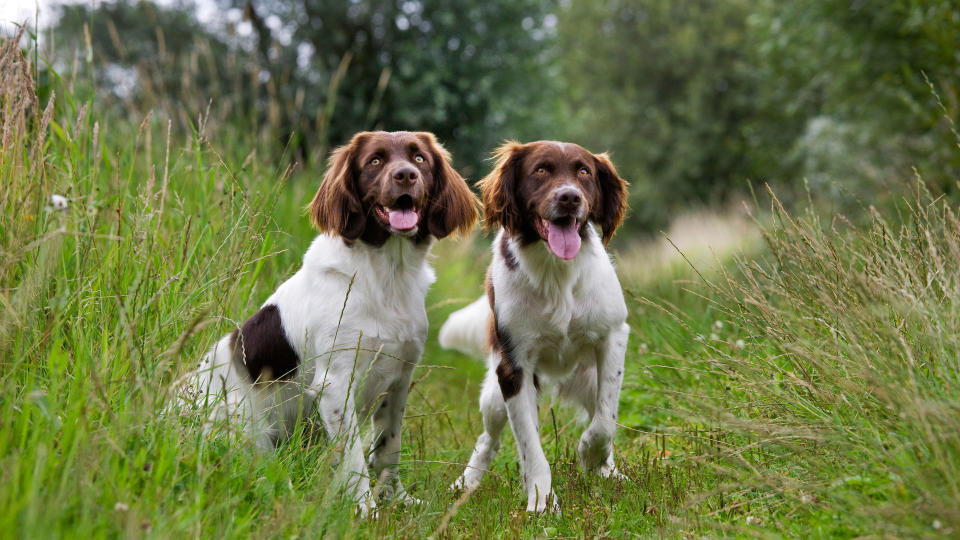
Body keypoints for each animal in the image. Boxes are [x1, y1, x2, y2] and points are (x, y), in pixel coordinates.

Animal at [175, 133, 476, 512]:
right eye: (375, 161)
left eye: (419, 158)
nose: (405, 175)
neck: (386, 277)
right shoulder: (335, 383)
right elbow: (354, 459)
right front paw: (366, 510)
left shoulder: (399, 378)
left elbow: (389, 446)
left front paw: (397, 499)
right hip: (239, 421)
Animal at [440, 139, 632, 510]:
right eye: (541, 170)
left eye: (583, 171)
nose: (569, 197)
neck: (556, 271)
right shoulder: (513, 369)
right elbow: (530, 447)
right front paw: (541, 502)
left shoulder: (613, 336)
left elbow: (605, 423)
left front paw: (590, 456)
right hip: (494, 396)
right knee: (488, 439)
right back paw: (465, 483)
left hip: (589, 379)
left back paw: (610, 472)